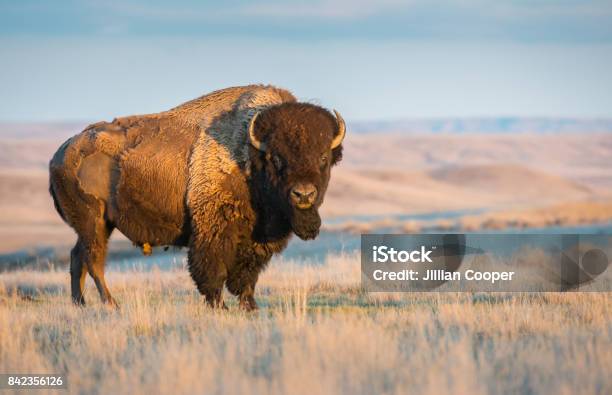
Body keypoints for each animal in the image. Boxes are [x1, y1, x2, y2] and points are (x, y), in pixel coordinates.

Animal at [49, 85, 344, 310]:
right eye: (276, 158)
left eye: (323, 157)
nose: (303, 194)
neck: (249, 153)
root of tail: (61, 153)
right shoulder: (212, 230)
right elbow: (213, 270)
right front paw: (220, 306)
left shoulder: (256, 241)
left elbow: (247, 275)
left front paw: (250, 307)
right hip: (94, 222)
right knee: (93, 260)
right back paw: (111, 303)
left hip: (96, 226)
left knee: (77, 257)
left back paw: (80, 304)